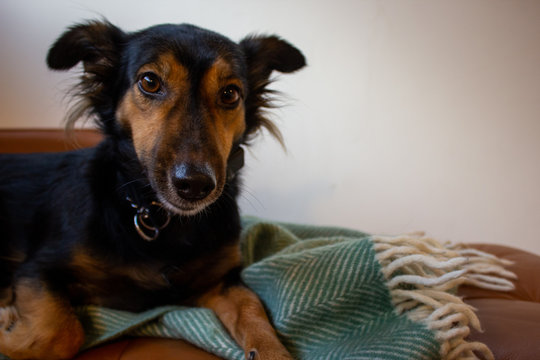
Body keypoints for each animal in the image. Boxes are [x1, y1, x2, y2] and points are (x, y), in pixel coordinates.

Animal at [0, 20, 304, 360]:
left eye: (230, 94)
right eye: (149, 81)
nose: (195, 185)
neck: (159, 216)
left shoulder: (220, 282)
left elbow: (252, 308)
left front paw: (273, 351)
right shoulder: (37, 268)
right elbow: (60, 333)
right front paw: (6, 326)